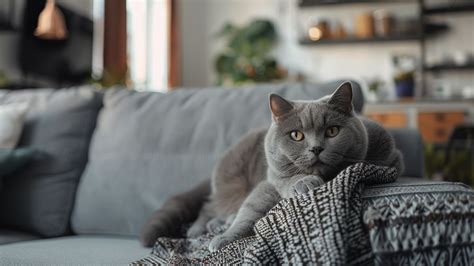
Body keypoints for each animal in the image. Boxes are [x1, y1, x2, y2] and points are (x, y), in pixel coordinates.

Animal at [141, 81, 404, 251]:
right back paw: (199, 229)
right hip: (232, 185)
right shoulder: (270, 180)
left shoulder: (391, 156)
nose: (316, 148)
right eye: (296, 135)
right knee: (210, 205)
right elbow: (252, 209)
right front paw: (224, 239)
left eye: (332, 131)